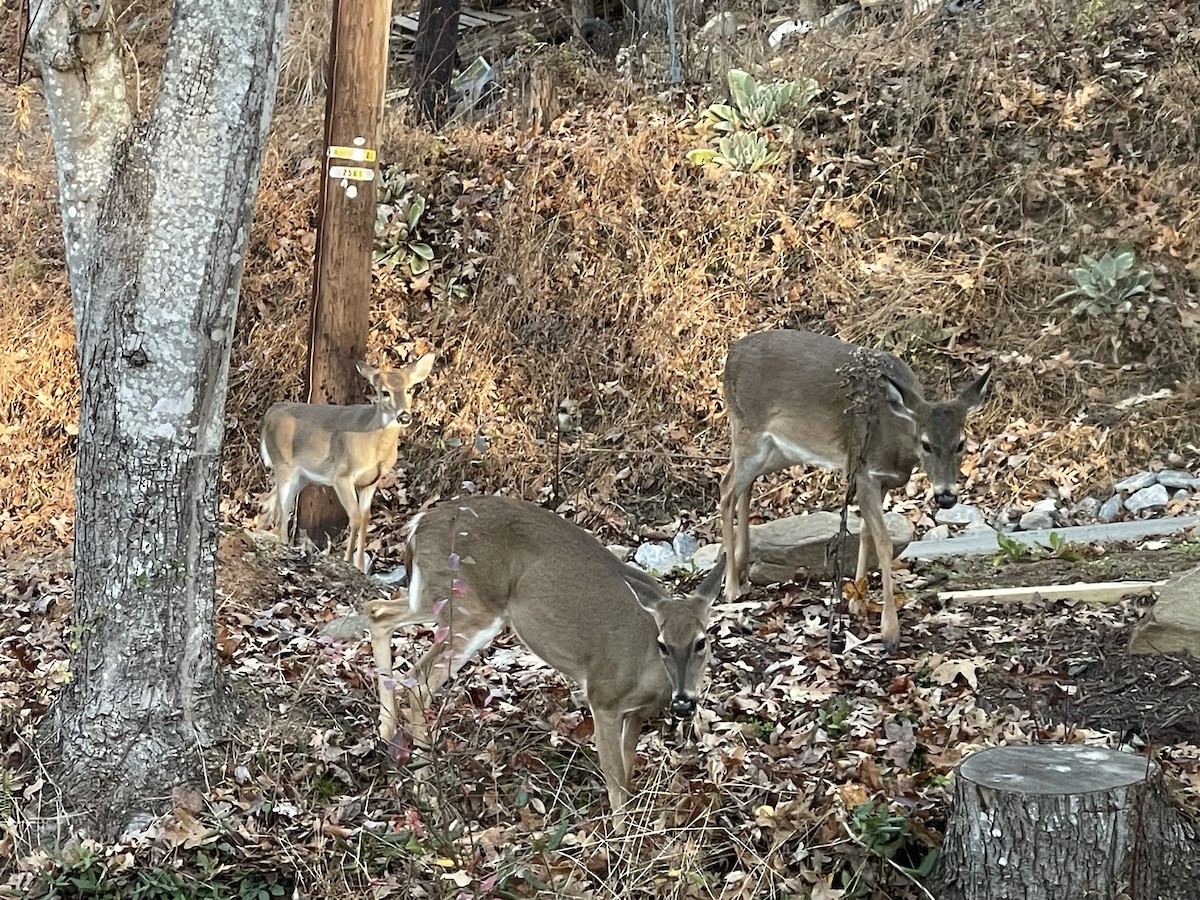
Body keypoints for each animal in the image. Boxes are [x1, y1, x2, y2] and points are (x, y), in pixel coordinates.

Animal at [259, 353, 435, 572]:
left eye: (409, 389)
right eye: (385, 392)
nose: (404, 416)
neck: (374, 446)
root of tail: (269, 413)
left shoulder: (371, 482)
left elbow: (365, 519)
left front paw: (360, 566)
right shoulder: (341, 475)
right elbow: (355, 517)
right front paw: (348, 560)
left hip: (302, 477)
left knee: (271, 504)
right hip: (283, 464)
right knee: (282, 512)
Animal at [364, 495, 726, 816]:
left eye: (702, 642)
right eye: (662, 643)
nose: (684, 703)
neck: (645, 669)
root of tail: (417, 524)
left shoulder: (634, 714)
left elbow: (625, 775)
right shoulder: (603, 697)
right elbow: (614, 780)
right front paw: (620, 836)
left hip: (434, 598)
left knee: (377, 610)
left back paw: (386, 735)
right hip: (469, 606)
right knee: (419, 677)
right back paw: (426, 790)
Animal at [719, 329, 991, 650]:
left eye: (960, 443)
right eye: (926, 444)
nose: (946, 496)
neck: (895, 438)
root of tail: (731, 354)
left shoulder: (880, 479)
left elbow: (865, 532)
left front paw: (857, 601)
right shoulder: (863, 471)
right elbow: (883, 541)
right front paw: (890, 631)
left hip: (778, 450)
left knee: (742, 485)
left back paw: (740, 566)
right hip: (748, 431)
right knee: (726, 489)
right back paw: (731, 587)